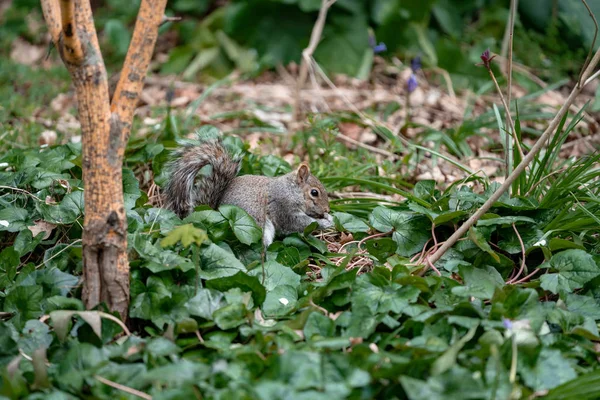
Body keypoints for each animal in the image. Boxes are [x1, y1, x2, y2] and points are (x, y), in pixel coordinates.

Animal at [162, 135, 336, 247]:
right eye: (314, 192)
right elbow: (299, 223)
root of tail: (215, 210)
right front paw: (325, 222)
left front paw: (329, 217)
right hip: (255, 224)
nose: (327, 209)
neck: (292, 191)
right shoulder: (283, 207)